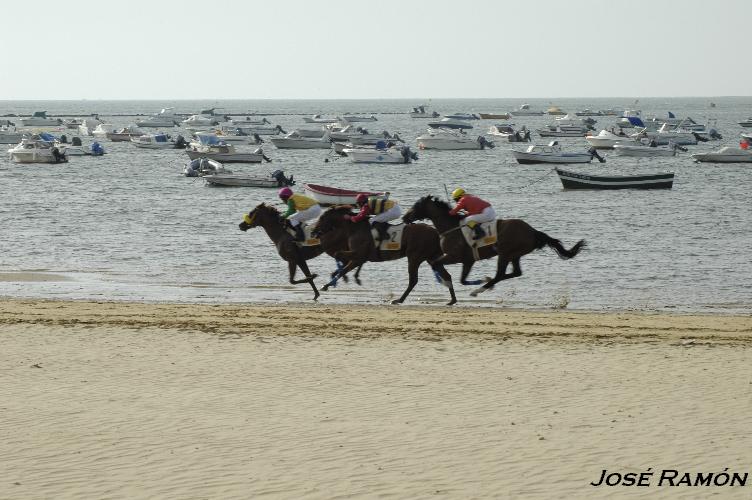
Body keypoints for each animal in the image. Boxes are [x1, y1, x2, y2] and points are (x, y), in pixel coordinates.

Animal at [402, 195, 584, 296]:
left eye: (416, 205)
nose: (405, 217)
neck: (450, 227)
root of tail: (533, 231)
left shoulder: (454, 256)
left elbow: (435, 263)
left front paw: (446, 282)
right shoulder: (468, 260)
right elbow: (462, 279)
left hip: (504, 253)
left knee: (501, 274)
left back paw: (480, 289)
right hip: (515, 254)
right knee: (515, 273)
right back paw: (487, 284)